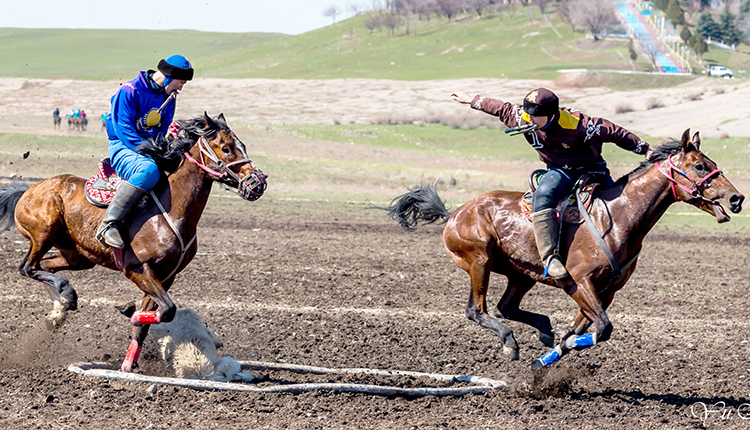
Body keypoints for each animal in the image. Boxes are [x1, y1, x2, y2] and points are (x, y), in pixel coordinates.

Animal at [0, 112, 268, 372]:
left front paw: (130, 362)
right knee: (28, 267)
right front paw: (128, 309)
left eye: (242, 145)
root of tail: (27, 191)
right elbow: (167, 310)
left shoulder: (166, 277)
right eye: (226, 148)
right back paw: (66, 295)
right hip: (44, 232)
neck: (172, 211)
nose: (258, 183)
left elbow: (154, 316)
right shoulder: (137, 269)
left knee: (45, 266)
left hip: (77, 256)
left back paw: (60, 307)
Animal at [388, 129, 748, 368]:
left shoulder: (606, 290)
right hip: (479, 260)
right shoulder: (579, 281)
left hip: (522, 274)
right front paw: (566, 343)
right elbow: (602, 327)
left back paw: (544, 332)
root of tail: (455, 213)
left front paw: (552, 352)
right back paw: (510, 342)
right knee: (477, 310)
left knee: (506, 306)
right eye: (700, 166)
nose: (736, 198)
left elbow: (588, 325)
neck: (617, 215)